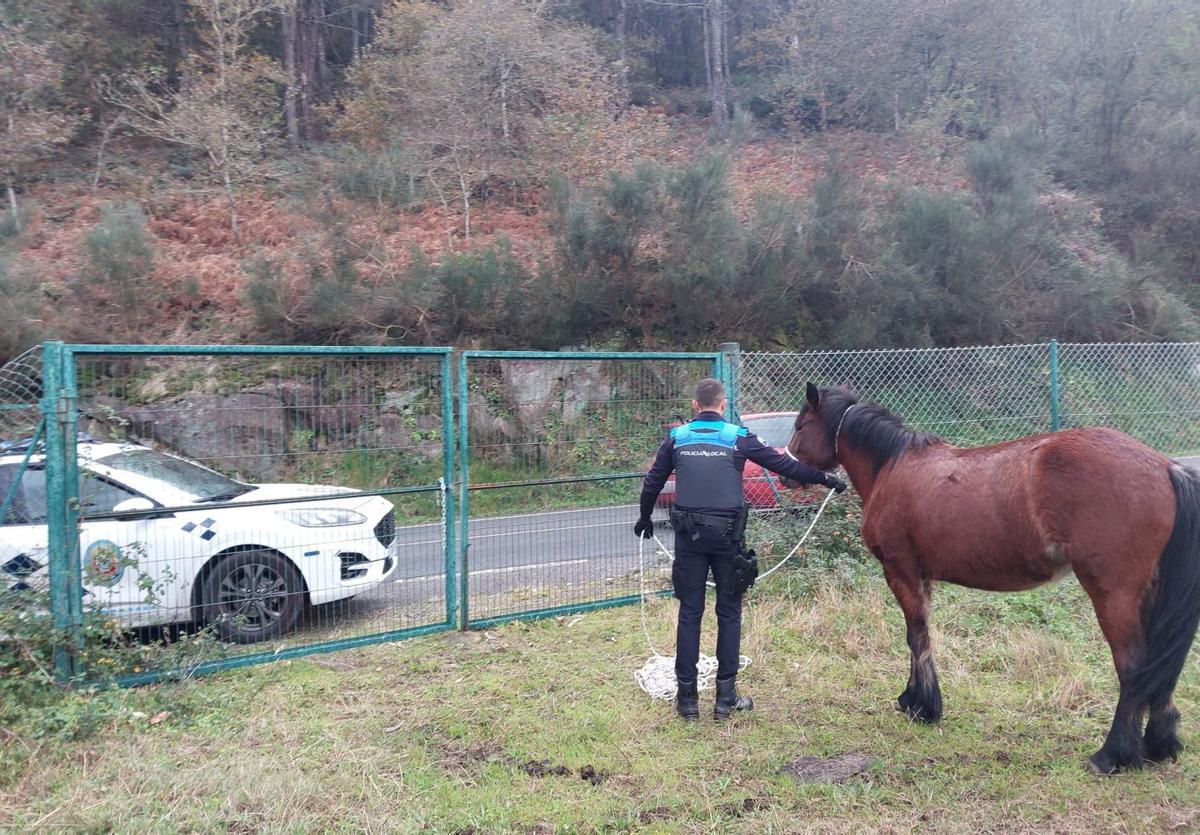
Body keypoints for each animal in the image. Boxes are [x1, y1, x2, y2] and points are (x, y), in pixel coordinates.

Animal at [786, 383, 1200, 773]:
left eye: (801, 424)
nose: (787, 469)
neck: (892, 465)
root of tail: (1167, 467)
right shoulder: (922, 577)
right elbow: (924, 636)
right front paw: (920, 702)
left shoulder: (901, 571)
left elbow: (916, 637)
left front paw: (920, 706)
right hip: (1148, 593)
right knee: (1159, 667)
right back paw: (1158, 745)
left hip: (1113, 594)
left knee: (1132, 667)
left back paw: (1112, 755)